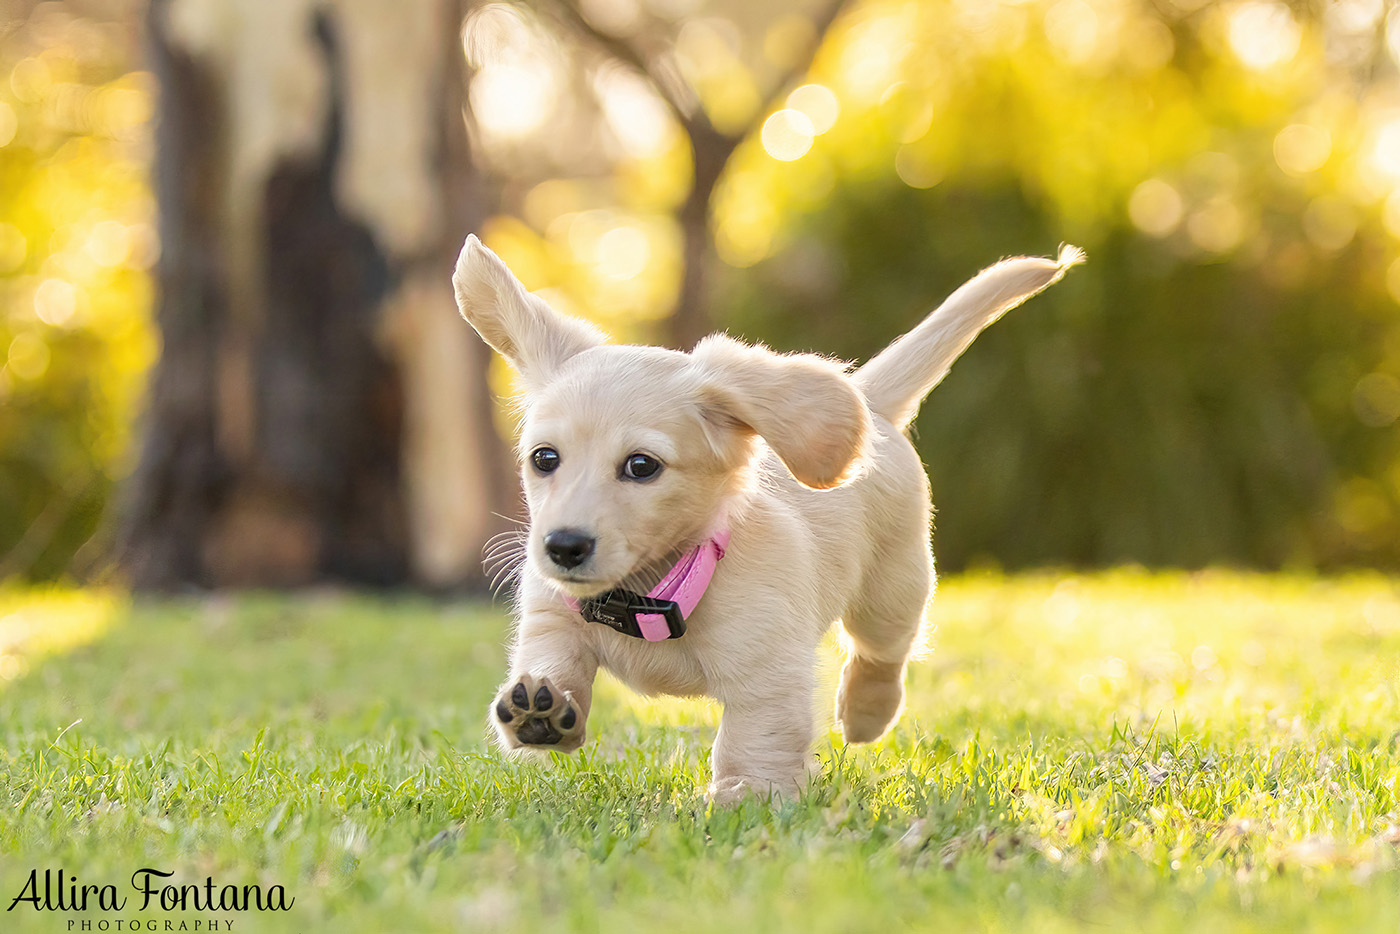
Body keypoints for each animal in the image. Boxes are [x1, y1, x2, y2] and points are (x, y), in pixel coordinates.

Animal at [450, 233, 1080, 806]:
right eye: (544, 458)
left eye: (641, 466)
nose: (563, 547)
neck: (650, 591)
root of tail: (869, 398)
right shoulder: (552, 618)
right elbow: (553, 658)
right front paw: (540, 707)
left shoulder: (769, 675)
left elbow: (753, 741)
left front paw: (746, 797)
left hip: (894, 587)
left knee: (883, 651)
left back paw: (865, 711)